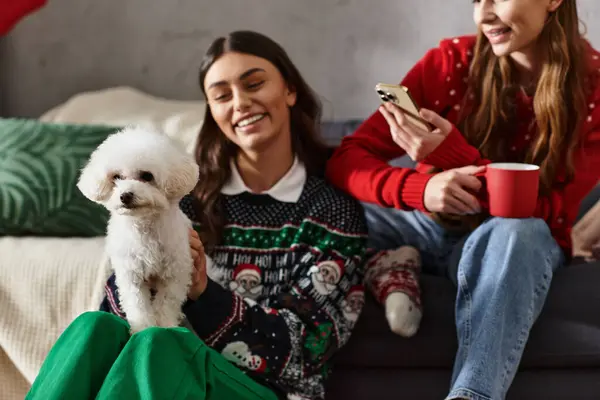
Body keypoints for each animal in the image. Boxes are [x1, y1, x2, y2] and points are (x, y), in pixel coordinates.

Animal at [76, 126, 199, 332]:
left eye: (147, 176)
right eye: (116, 177)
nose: (125, 195)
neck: (144, 226)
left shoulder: (175, 272)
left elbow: (166, 303)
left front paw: (166, 327)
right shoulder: (130, 274)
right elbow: (138, 305)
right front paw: (142, 328)